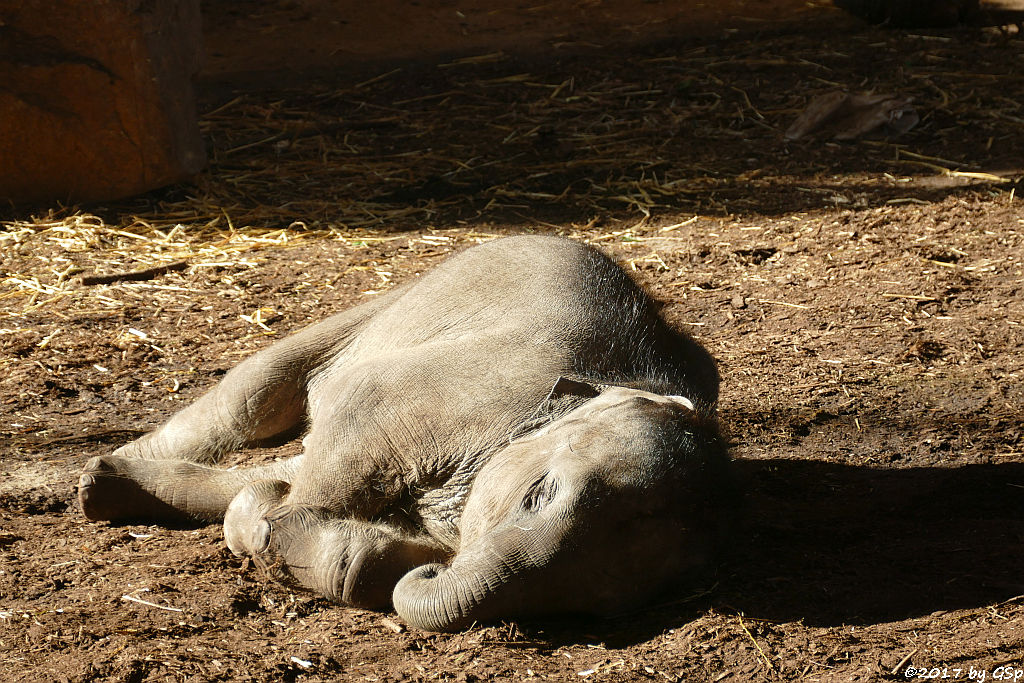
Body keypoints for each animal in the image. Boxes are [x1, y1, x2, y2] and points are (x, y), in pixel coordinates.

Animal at [81, 235, 737, 630]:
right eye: (539, 495)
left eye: (597, 603)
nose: (432, 569)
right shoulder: (450, 394)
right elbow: (350, 428)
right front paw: (270, 527)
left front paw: (261, 517)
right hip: (393, 302)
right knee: (253, 399)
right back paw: (91, 480)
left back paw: (109, 485)